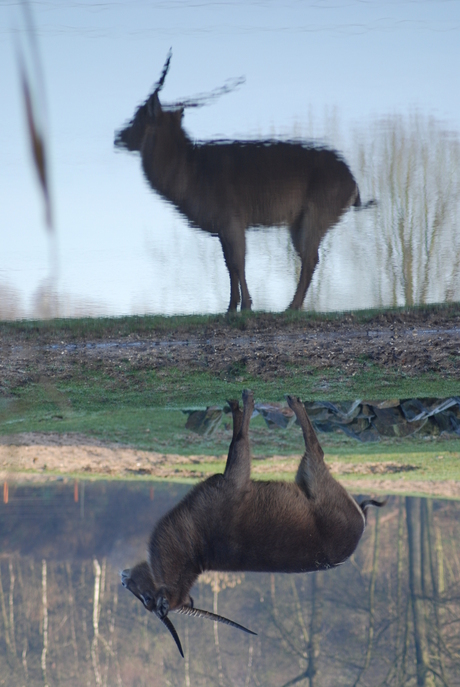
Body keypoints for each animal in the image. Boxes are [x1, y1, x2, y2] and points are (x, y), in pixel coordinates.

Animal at [114, 50, 374, 312]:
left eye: (139, 115)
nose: (118, 136)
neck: (191, 168)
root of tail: (352, 180)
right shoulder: (222, 229)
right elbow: (228, 264)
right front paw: (231, 307)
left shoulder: (232, 222)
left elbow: (238, 262)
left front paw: (246, 306)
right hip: (298, 223)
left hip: (314, 218)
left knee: (310, 258)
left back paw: (291, 307)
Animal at [119, 392, 384, 656]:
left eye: (146, 599)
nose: (122, 579)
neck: (195, 546)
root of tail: (361, 519)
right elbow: (238, 437)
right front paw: (238, 406)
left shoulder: (235, 477)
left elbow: (239, 440)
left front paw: (244, 403)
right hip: (305, 475)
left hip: (314, 473)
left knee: (316, 448)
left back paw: (293, 402)